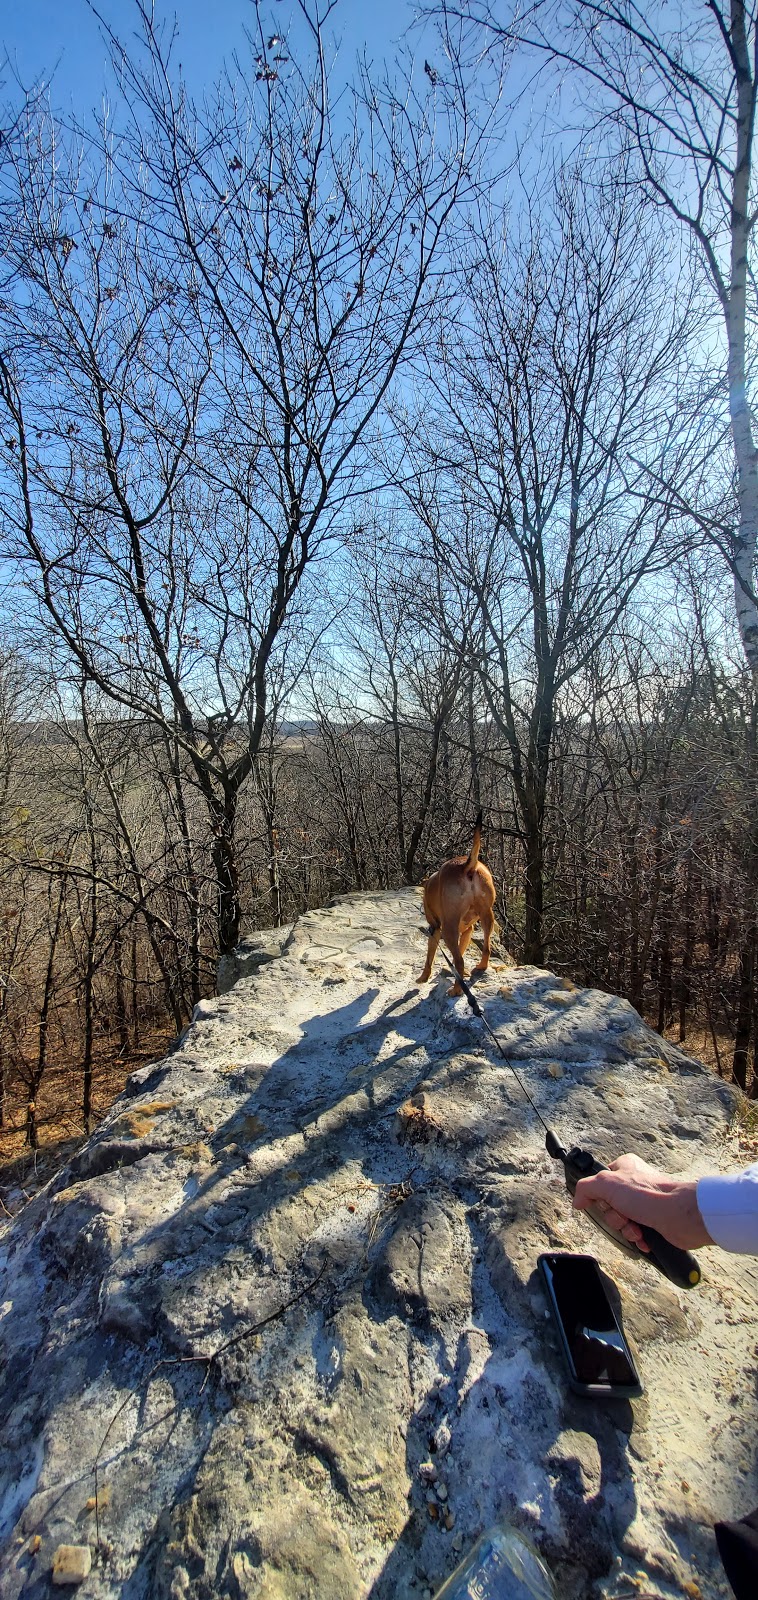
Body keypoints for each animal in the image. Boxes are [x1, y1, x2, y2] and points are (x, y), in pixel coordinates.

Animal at [415, 819, 498, 992]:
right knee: (486, 948)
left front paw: (423, 978)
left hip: (447, 930)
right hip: (488, 917)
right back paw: (480, 967)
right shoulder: (468, 930)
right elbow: (459, 951)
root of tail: (467, 866)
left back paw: (456, 991)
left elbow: (430, 958)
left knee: (460, 962)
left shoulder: (435, 930)